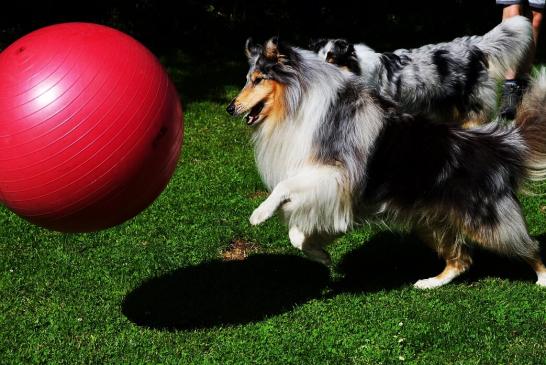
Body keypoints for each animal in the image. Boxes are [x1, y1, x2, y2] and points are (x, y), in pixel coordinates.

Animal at [224, 37, 544, 288]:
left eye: (258, 80)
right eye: (246, 79)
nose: (229, 108)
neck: (298, 104)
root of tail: (498, 144)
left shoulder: (335, 175)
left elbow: (285, 187)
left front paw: (260, 213)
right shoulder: (334, 194)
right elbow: (297, 234)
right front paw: (320, 254)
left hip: (489, 223)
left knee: (530, 247)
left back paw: (541, 280)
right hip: (428, 222)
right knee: (462, 260)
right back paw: (430, 283)